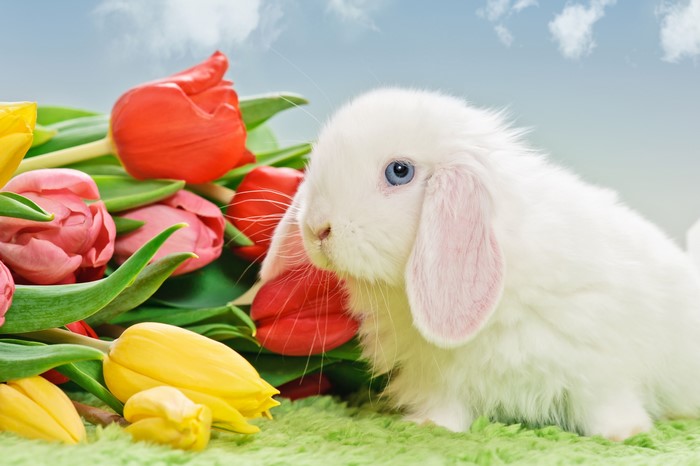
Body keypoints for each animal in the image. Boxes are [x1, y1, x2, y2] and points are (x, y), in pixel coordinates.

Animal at [259, 87, 700, 441]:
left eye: (399, 171)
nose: (316, 228)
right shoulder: (438, 375)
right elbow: (447, 405)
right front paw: (430, 426)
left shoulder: (601, 365)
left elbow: (606, 404)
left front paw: (624, 434)